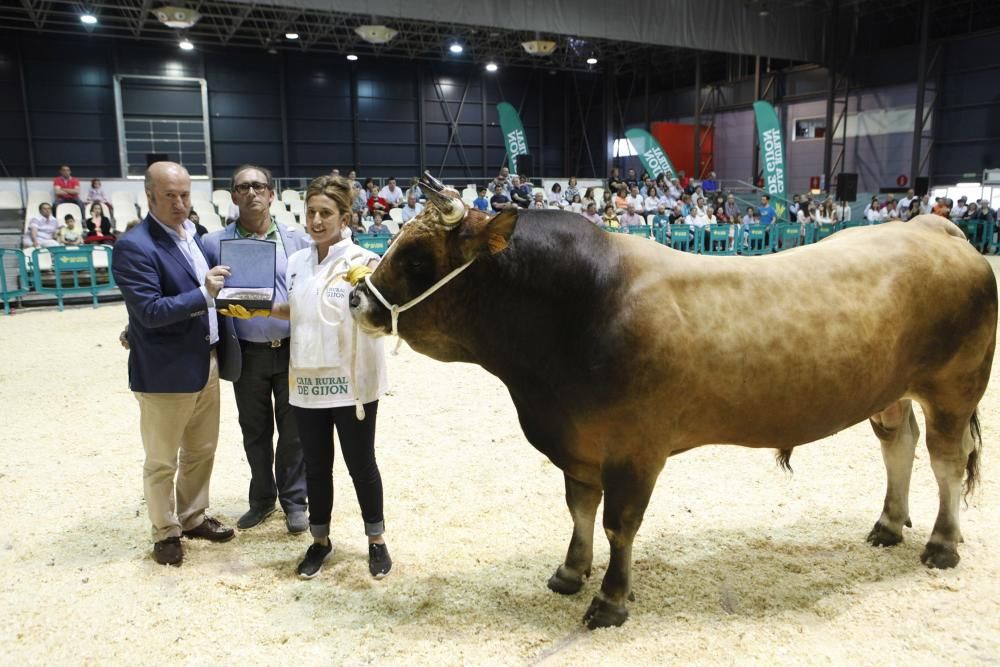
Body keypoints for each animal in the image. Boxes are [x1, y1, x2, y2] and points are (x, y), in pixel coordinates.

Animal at [348, 175, 996, 628]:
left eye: (417, 258)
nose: (357, 300)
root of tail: (934, 227)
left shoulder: (635, 449)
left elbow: (619, 525)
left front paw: (610, 601)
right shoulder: (579, 445)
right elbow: (579, 511)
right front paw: (570, 572)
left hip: (953, 388)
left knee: (945, 460)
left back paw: (941, 544)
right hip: (890, 392)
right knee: (899, 445)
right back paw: (888, 524)